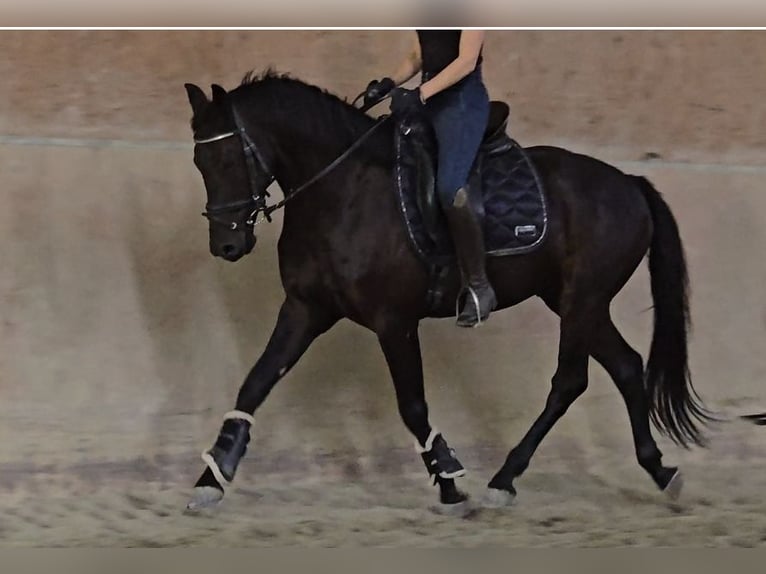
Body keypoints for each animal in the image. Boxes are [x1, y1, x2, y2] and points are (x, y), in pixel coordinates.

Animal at [183, 70, 712, 510]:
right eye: (198, 159)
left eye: (228, 157)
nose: (226, 244)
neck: (343, 190)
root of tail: (629, 183)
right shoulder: (304, 309)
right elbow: (255, 383)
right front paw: (213, 478)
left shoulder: (394, 321)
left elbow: (413, 405)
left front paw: (451, 480)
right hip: (576, 302)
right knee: (626, 367)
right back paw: (659, 471)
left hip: (582, 299)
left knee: (569, 382)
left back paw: (504, 479)